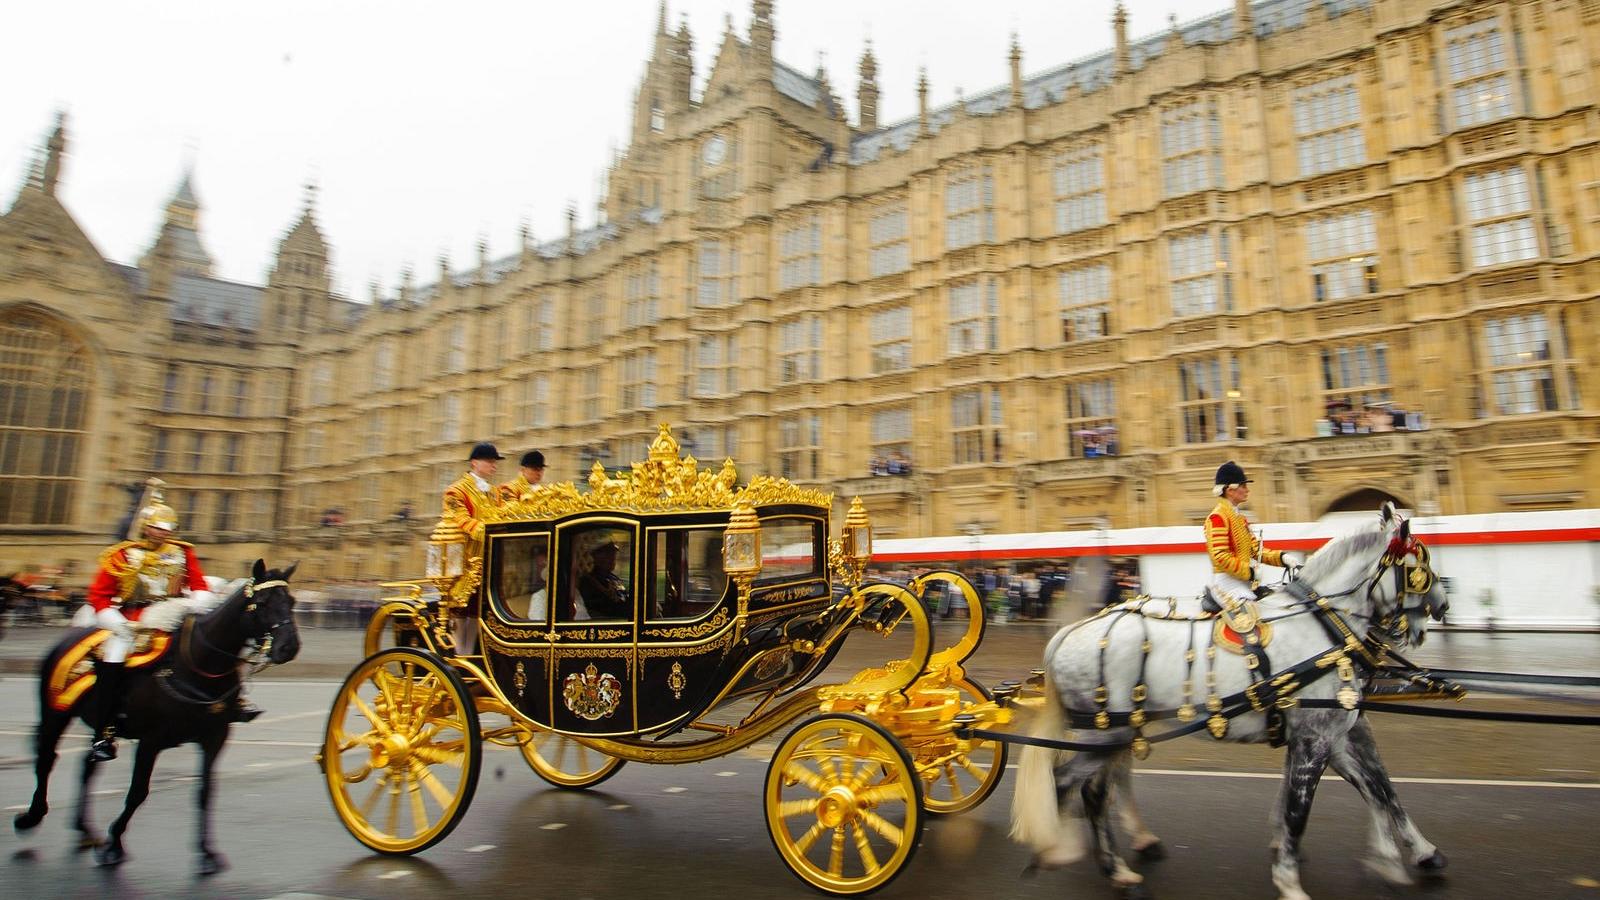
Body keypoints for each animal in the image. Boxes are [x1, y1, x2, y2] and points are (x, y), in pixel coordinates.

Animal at [11, 557, 297, 871]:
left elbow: (205, 792)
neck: (197, 666)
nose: (289, 647)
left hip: (99, 727)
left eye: (291, 601)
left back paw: (85, 831)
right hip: (55, 713)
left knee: (87, 766)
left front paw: (207, 852)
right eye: (262, 602)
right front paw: (114, 844)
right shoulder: (151, 740)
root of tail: (72, 633)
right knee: (46, 758)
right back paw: (32, 817)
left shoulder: (214, 739)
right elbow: (138, 792)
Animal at [1011, 506, 1452, 896]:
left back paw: (1118, 852)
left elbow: (1378, 787)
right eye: (1419, 563)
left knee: (1100, 784)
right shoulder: (1316, 738)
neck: (1323, 626)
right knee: (1076, 786)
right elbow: (1304, 809)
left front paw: (1412, 854)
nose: (1443, 605)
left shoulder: (1334, 733)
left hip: (1118, 730)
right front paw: (1291, 881)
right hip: (1104, 735)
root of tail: (1068, 632)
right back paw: (1075, 853)